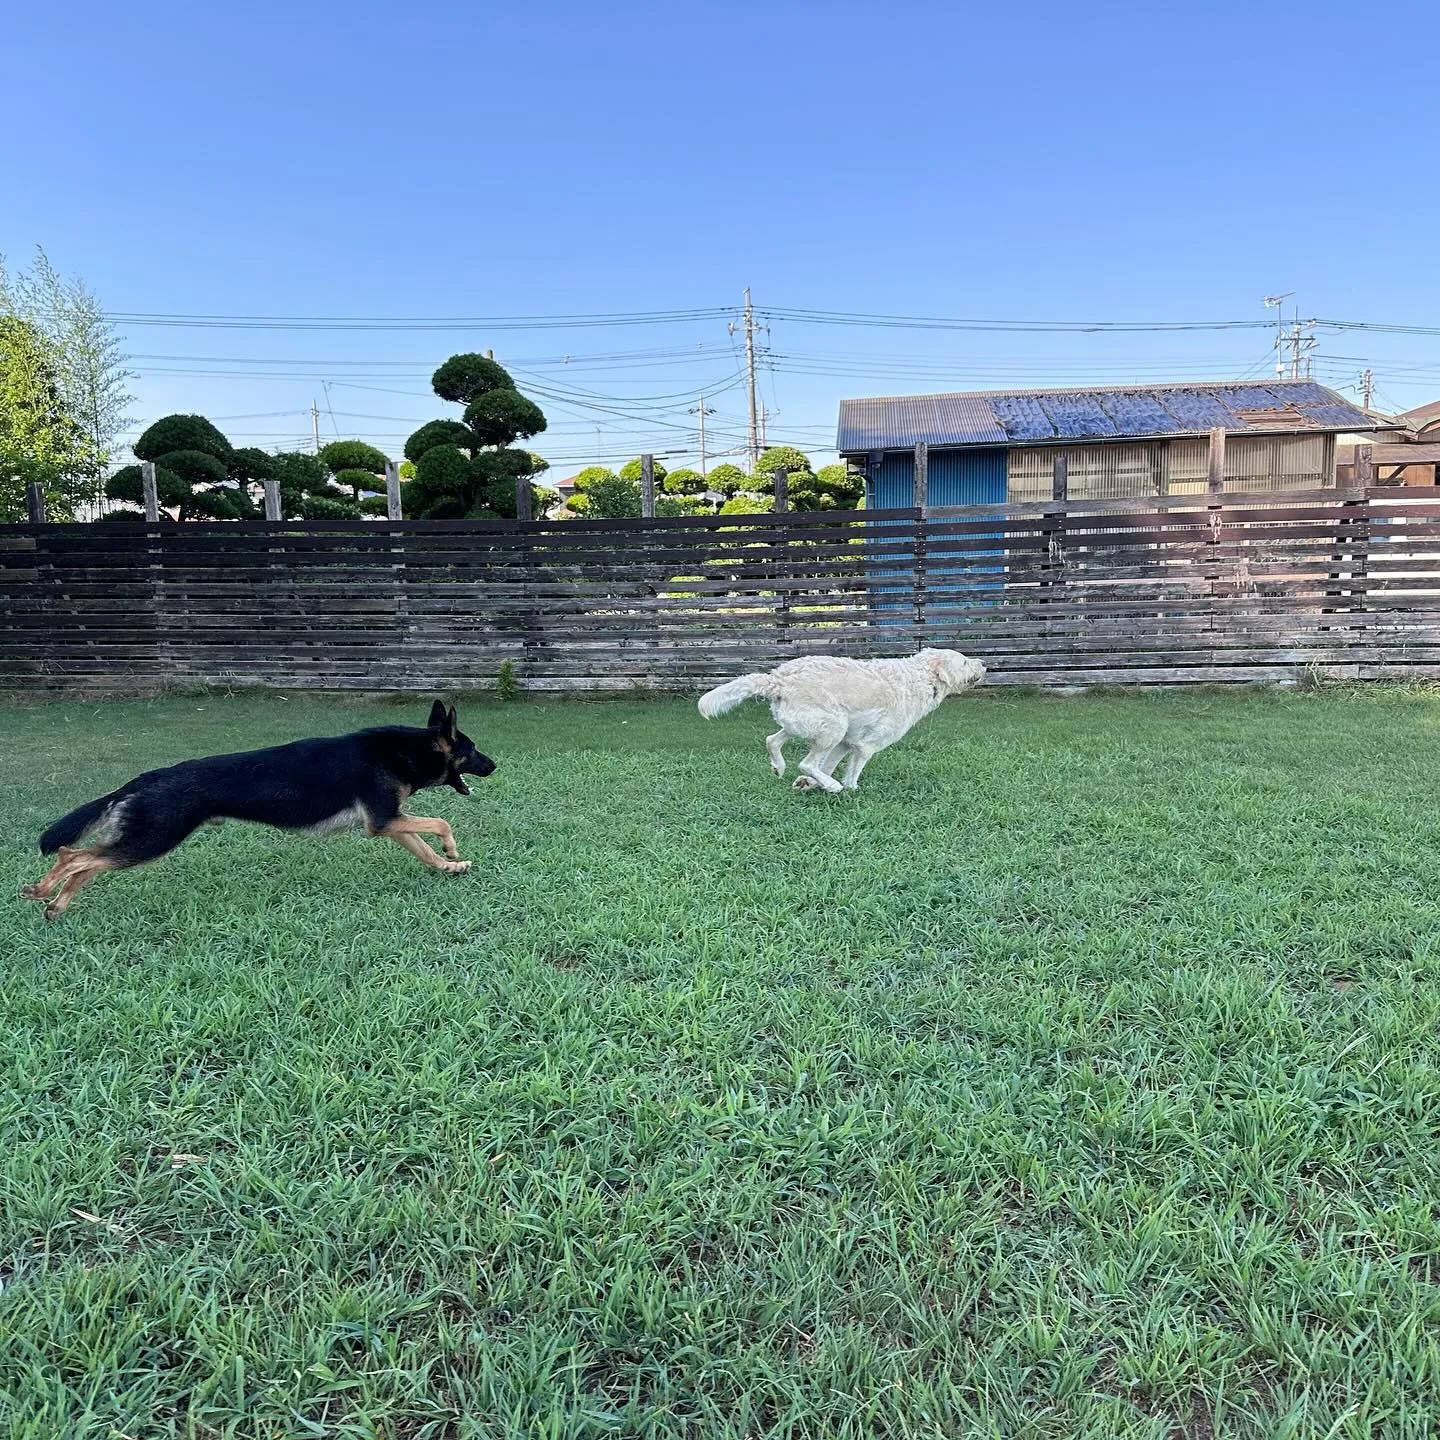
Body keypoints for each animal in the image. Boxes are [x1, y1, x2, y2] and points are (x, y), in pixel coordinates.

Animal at [694, 648, 984, 794]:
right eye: (964, 661)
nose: (983, 663)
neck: (920, 677)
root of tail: (779, 679)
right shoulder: (864, 746)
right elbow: (850, 772)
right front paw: (849, 788)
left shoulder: (845, 743)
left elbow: (829, 765)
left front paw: (809, 784)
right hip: (833, 725)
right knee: (806, 762)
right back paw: (832, 787)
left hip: (805, 726)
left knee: (773, 741)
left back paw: (780, 767)